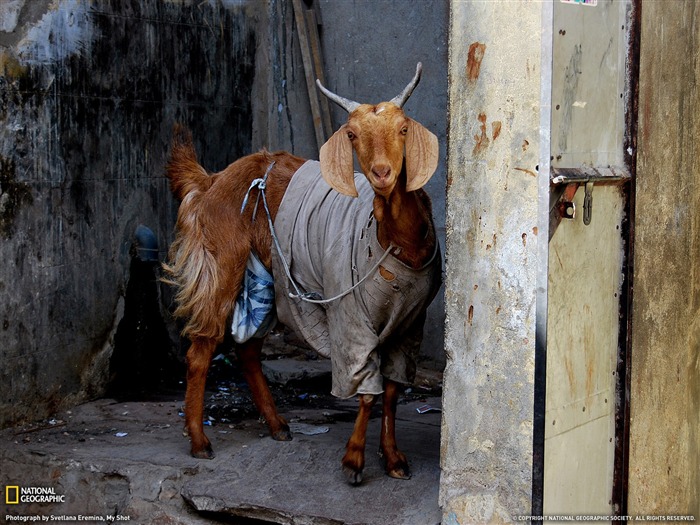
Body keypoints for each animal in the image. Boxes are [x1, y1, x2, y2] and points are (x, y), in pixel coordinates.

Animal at [161, 63, 440, 486]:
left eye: (404, 128)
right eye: (351, 134)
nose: (382, 173)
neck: (393, 242)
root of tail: (212, 181)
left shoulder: (411, 322)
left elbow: (392, 391)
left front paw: (393, 459)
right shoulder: (351, 318)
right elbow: (365, 389)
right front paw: (354, 461)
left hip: (268, 276)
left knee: (247, 350)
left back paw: (277, 424)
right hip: (223, 262)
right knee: (201, 349)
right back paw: (199, 441)